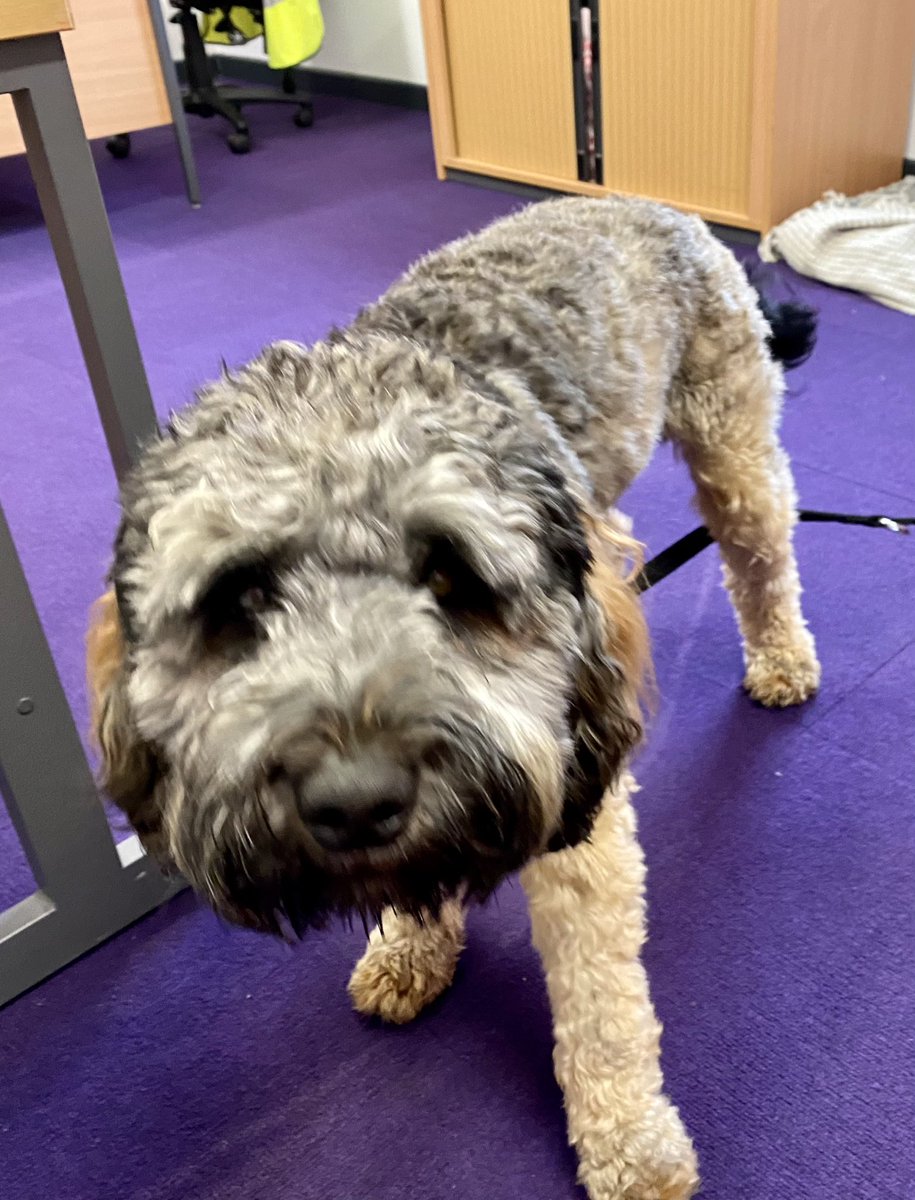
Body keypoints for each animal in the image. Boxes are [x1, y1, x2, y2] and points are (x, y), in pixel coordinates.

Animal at [87, 196, 821, 1200]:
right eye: (240, 599)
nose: (355, 800)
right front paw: (410, 944)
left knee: (763, 556)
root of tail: (638, 200)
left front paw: (630, 1141)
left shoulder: (577, 806)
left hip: (733, 452)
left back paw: (783, 657)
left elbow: (602, 1006)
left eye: (452, 576)